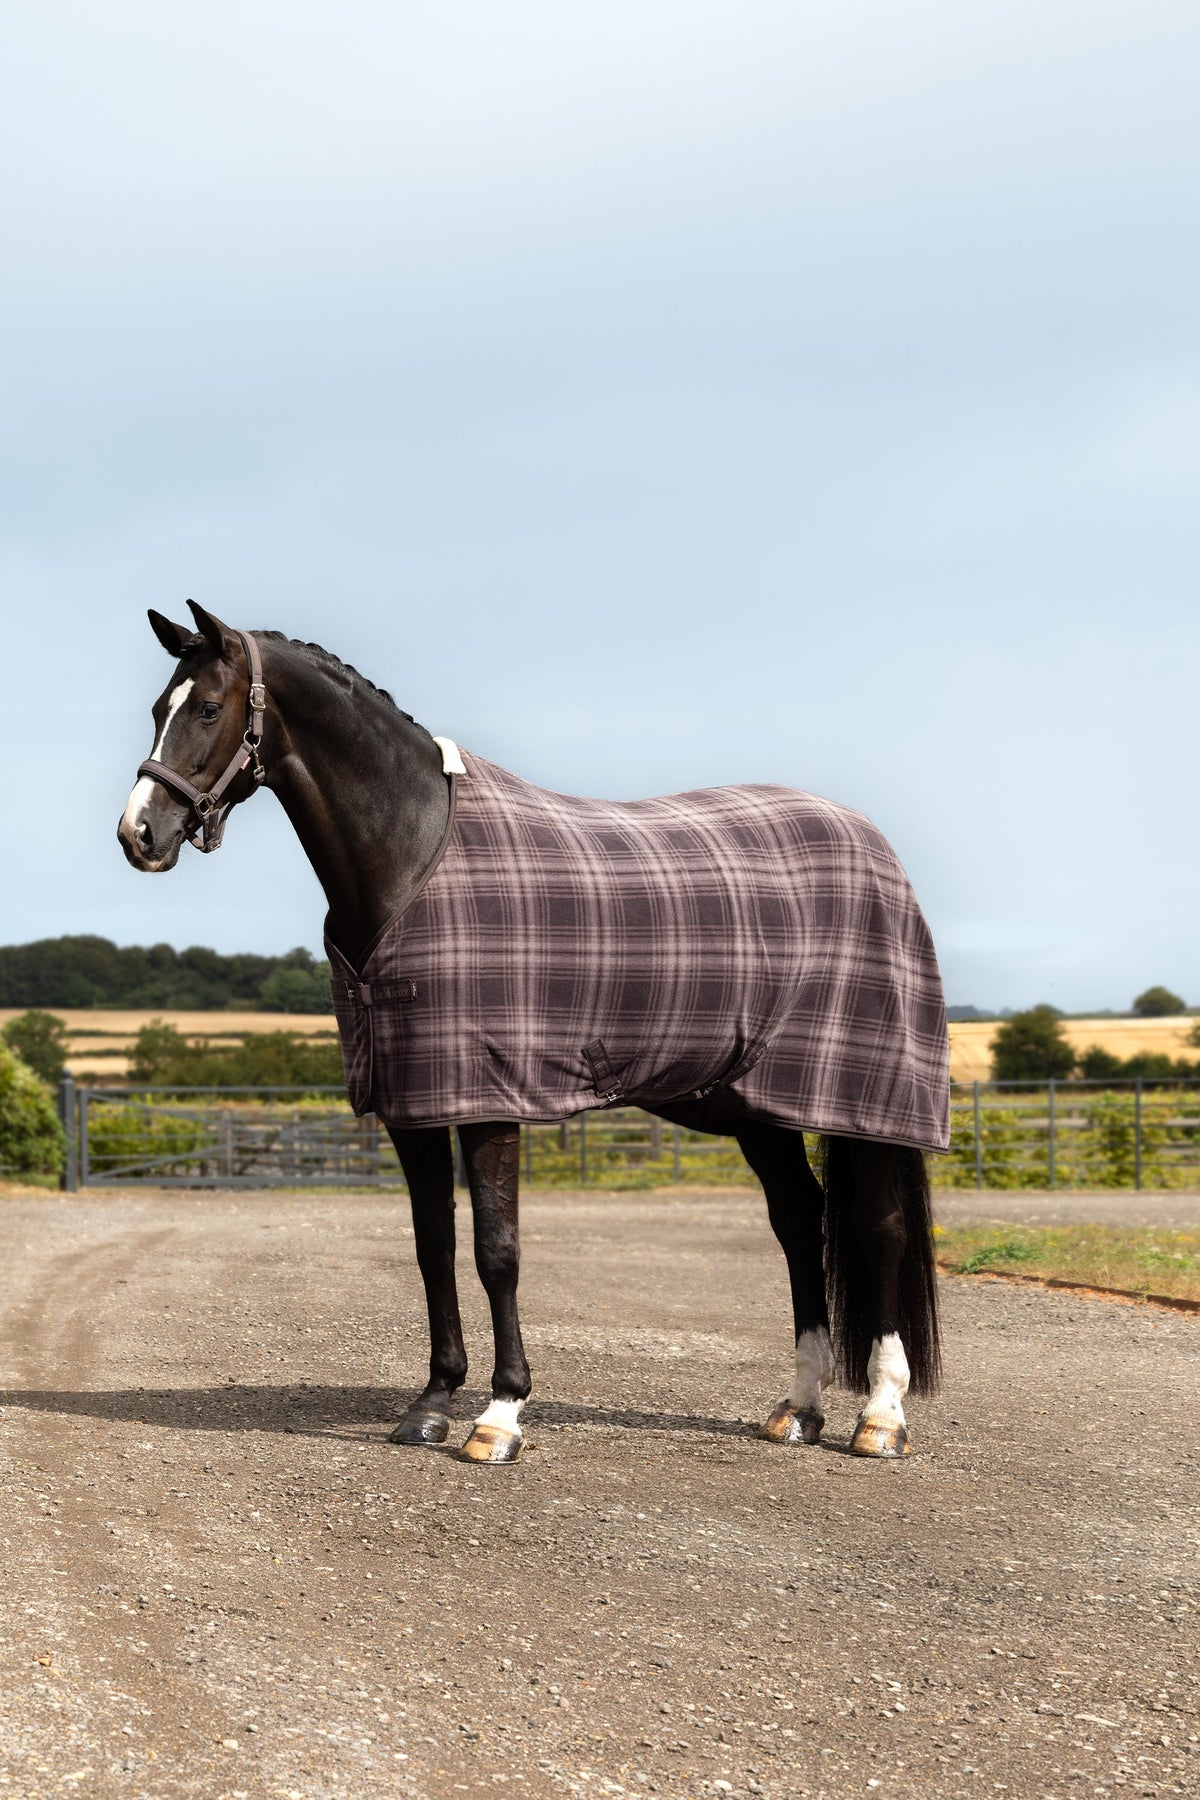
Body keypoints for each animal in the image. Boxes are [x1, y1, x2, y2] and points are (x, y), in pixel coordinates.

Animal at [118, 601, 948, 1465]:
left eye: (208, 708)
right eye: (157, 709)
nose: (138, 834)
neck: (414, 853)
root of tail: (874, 846)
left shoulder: (490, 1098)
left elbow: (498, 1251)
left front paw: (500, 1413)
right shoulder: (413, 1102)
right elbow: (433, 1248)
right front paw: (432, 1402)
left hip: (866, 1101)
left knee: (880, 1230)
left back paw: (881, 1416)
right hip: (758, 1108)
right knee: (799, 1222)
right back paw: (799, 1407)